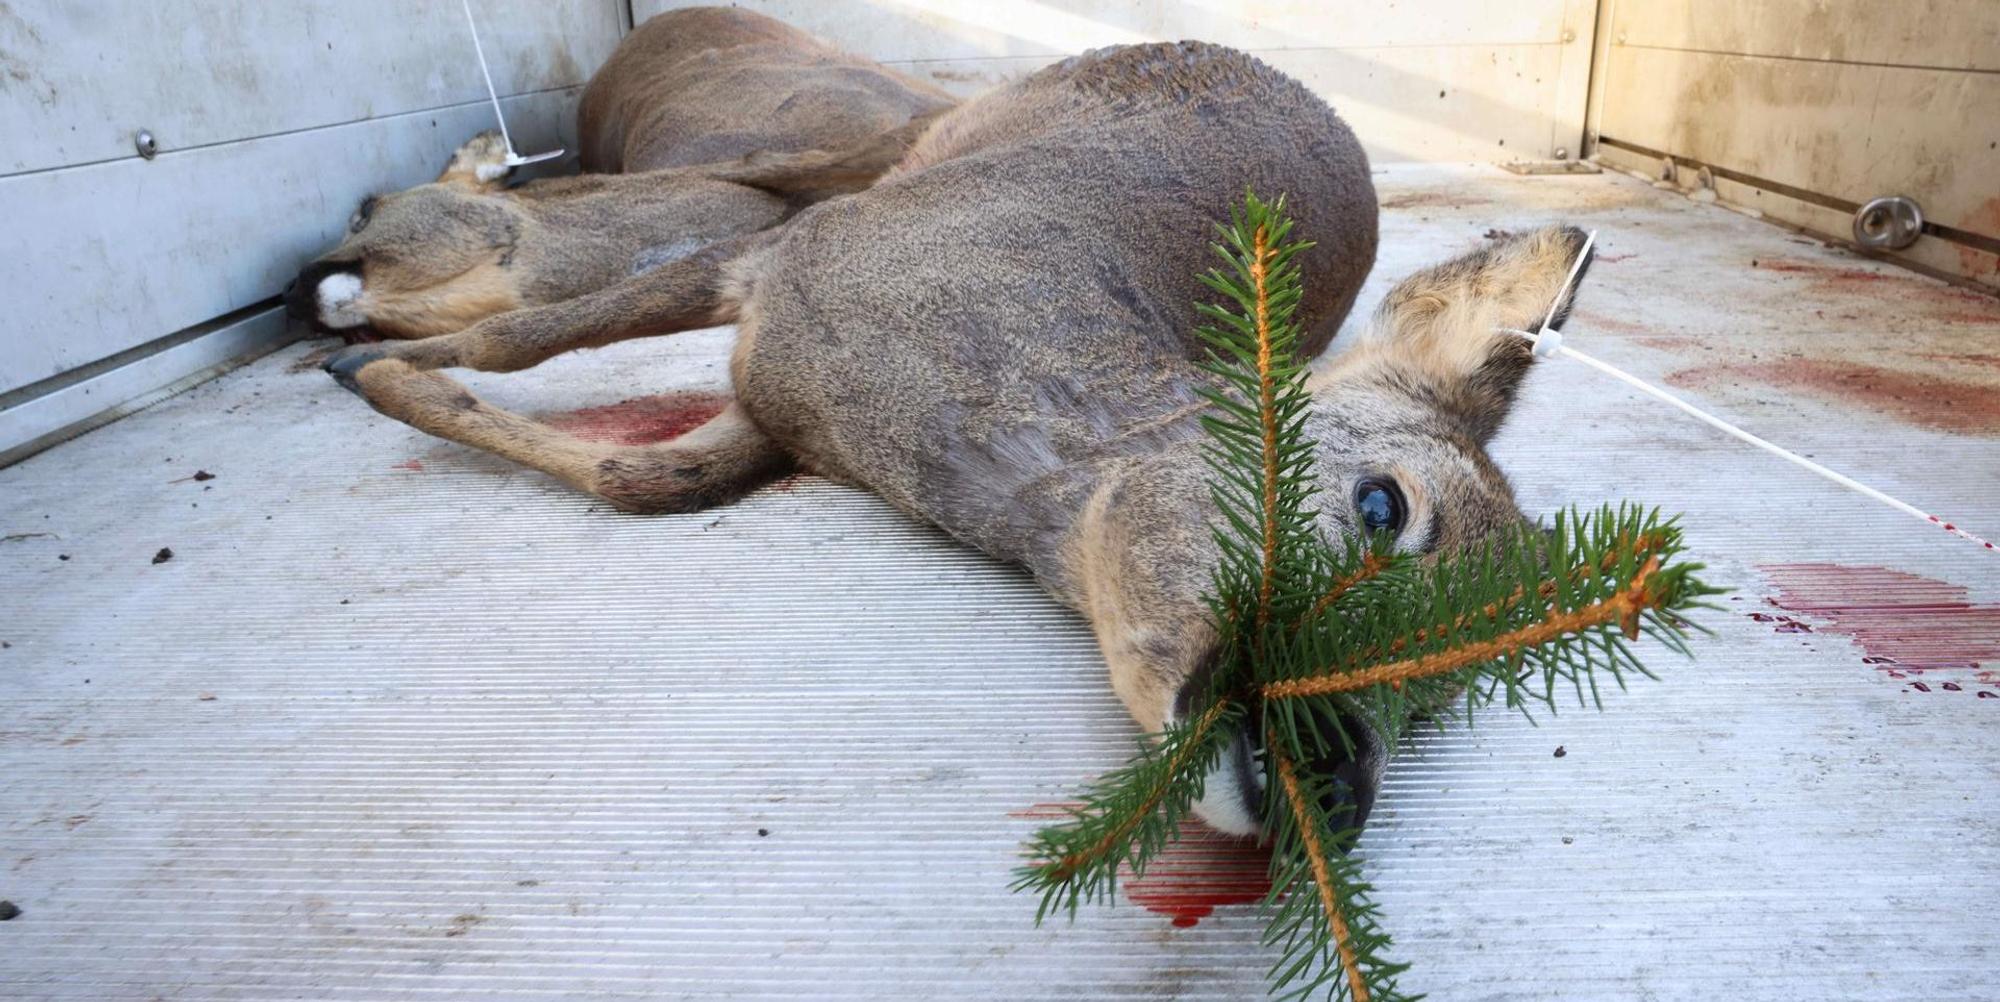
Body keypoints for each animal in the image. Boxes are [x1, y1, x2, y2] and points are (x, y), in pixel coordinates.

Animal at [320, 40, 1592, 838]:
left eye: (1437, 701)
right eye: (1384, 507)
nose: (1336, 791)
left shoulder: (778, 413)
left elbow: (654, 476)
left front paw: (386, 375)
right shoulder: (782, 267)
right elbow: (526, 339)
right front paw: (372, 366)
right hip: (906, 142)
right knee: (717, 181)